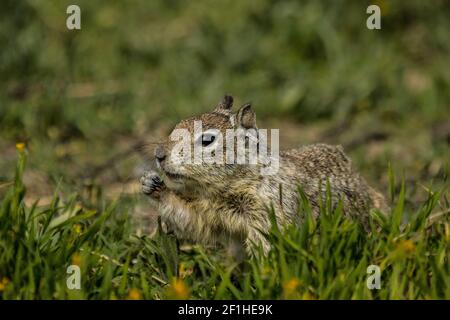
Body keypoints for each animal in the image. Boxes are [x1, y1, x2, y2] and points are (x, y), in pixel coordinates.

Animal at [141, 94, 386, 254]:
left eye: (207, 140)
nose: (159, 154)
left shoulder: (269, 211)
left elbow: (266, 247)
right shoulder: (207, 212)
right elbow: (192, 221)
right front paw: (151, 184)